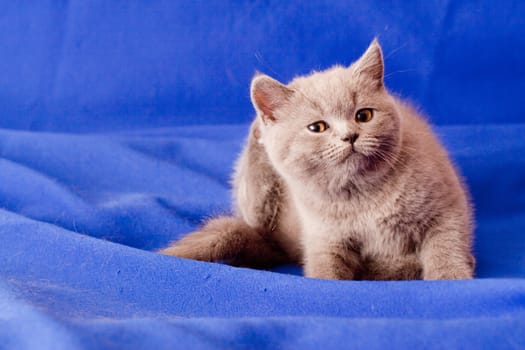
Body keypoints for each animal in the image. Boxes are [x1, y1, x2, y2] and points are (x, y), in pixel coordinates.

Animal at [160, 39, 474, 278]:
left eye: (364, 116)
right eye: (317, 128)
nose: (350, 136)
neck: (364, 196)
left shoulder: (447, 208)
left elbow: (446, 247)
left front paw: (450, 278)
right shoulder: (324, 238)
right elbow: (326, 272)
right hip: (258, 212)